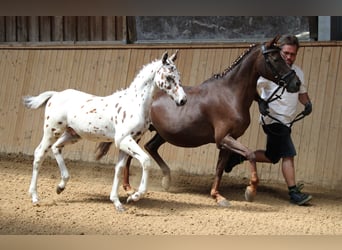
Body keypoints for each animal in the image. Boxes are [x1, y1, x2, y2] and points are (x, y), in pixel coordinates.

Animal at [95, 35, 300, 207]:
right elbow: (250, 154)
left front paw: (218, 196)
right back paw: (129, 188)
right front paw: (250, 190)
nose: (296, 83)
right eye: (276, 59)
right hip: (137, 134)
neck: (230, 95)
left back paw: (166, 180)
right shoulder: (224, 138)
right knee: (131, 156)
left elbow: (220, 168)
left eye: (285, 56)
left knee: (150, 148)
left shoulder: (227, 140)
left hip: (162, 134)